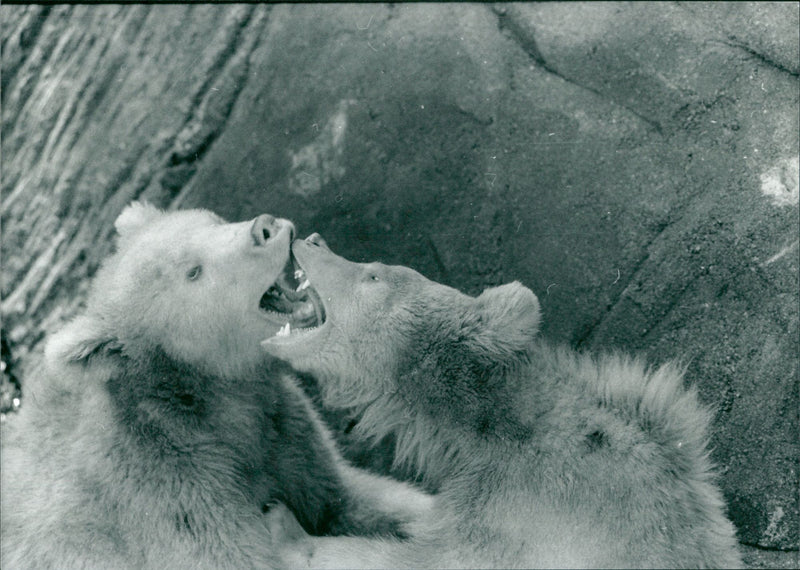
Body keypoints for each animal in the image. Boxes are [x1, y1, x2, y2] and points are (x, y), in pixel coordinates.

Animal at [0, 203, 433, 570]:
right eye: (193, 271)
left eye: (210, 220)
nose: (265, 229)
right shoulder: (174, 493)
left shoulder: (282, 433)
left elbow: (350, 497)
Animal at [261, 232, 743, 569]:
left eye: (374, 273)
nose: (312, 239)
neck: (489, 421)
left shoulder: (533, 506)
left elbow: (440, 558)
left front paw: (289, 532)